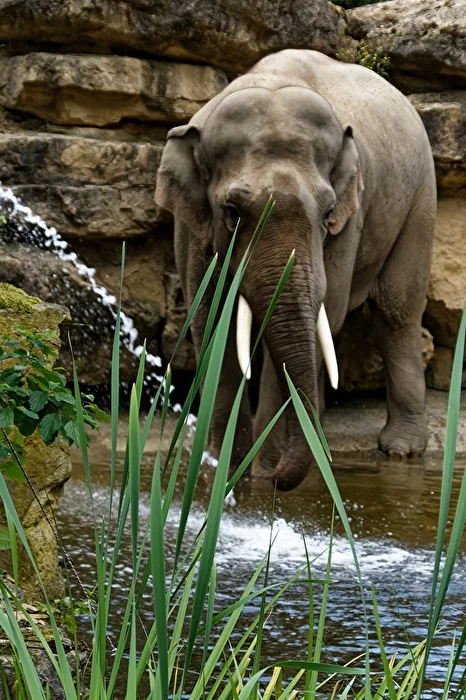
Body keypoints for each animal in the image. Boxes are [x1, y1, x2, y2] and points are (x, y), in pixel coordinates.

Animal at [155, 49, 436, 491]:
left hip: (421, 195)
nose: (274, 478)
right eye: (232, 212)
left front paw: (259, 474)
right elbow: (211, 320)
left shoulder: (350, 217)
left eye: (328, 212)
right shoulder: (189, 223)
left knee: (397, 312)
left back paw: (400, 451)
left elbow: (325, 311)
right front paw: (218, 469)